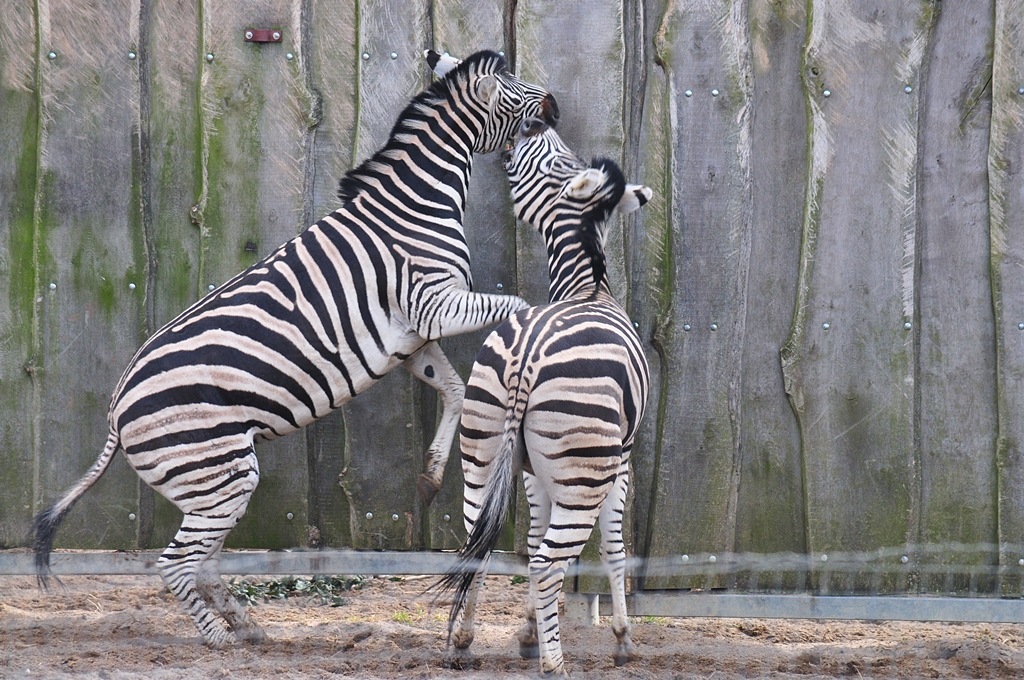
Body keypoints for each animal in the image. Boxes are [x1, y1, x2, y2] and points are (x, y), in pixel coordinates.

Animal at [32, 49, 558, 648]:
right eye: (514, 86)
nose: (556, 105)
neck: (417, 206)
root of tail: (116, 411)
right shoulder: (434, 305)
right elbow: (513, 307)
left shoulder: (412, 336)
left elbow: (451, 387)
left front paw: (428, 475)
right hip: (221, 474)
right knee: (176, 562)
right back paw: (219, 639)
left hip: (210, 485)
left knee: (202, 561)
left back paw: (246, 625)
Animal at [435, 117, 652, 677]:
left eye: (556, 159)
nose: (534, 124)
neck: (586, 288)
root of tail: (528, 354)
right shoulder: (621, 460)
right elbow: (614, 545)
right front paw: (622, 639)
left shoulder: (533, 472)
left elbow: (529, 535)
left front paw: (530, 629)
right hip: (585, 472)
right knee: (551, 560)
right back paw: (556, 664)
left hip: (482, 450)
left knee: (480, 546)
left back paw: (462, 642)